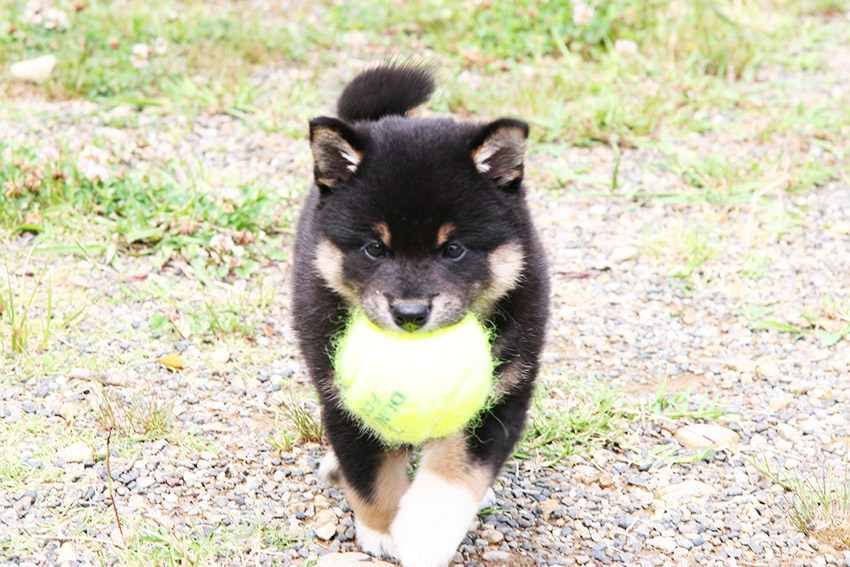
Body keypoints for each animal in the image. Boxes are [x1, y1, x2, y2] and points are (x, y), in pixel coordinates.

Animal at [290, 63, 548, 567]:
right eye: (374, 248)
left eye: (453, 250)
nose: (410, 313)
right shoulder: (340, 395)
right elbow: (369, 475)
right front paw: (382, 529)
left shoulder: (501, 393)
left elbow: (458, 471)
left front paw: (425, 532)